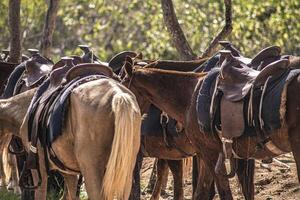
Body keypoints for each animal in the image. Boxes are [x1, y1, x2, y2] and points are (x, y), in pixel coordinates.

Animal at [0, 71, 142, 199]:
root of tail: (118, 95)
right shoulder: (69, 172)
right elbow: (70, 195)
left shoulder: (39, 168)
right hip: (124, 173)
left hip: (92, 170)